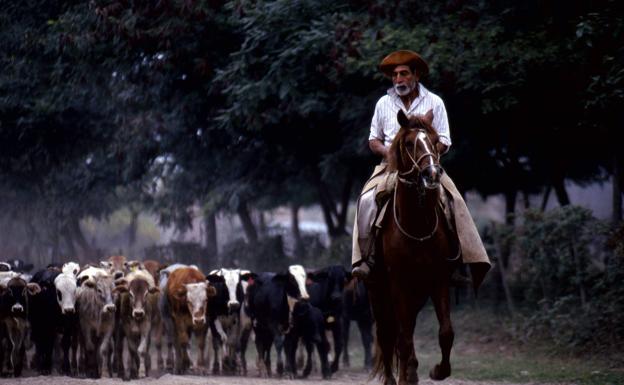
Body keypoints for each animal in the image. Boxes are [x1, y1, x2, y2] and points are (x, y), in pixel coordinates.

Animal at [366, 108, 464, 384]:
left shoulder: (438, 280)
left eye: (434, 141)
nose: (432, 173)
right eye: (409, 143)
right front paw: (407, 375)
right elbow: (402, 337)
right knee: (388, 334)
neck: (417, 227)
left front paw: (438, 371)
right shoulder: (398, 284)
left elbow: (446, 332)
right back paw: (395, 377)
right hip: (378, 291)